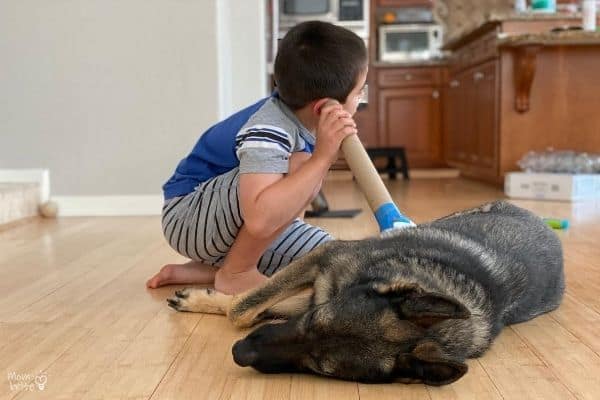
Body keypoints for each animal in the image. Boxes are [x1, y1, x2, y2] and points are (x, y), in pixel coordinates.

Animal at [165, 202, 564, 386]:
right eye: (314, 320)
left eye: (320, 367)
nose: (238, 352)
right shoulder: (324, 261)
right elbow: (243, 308)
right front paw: (210, 300)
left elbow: (248, 310)